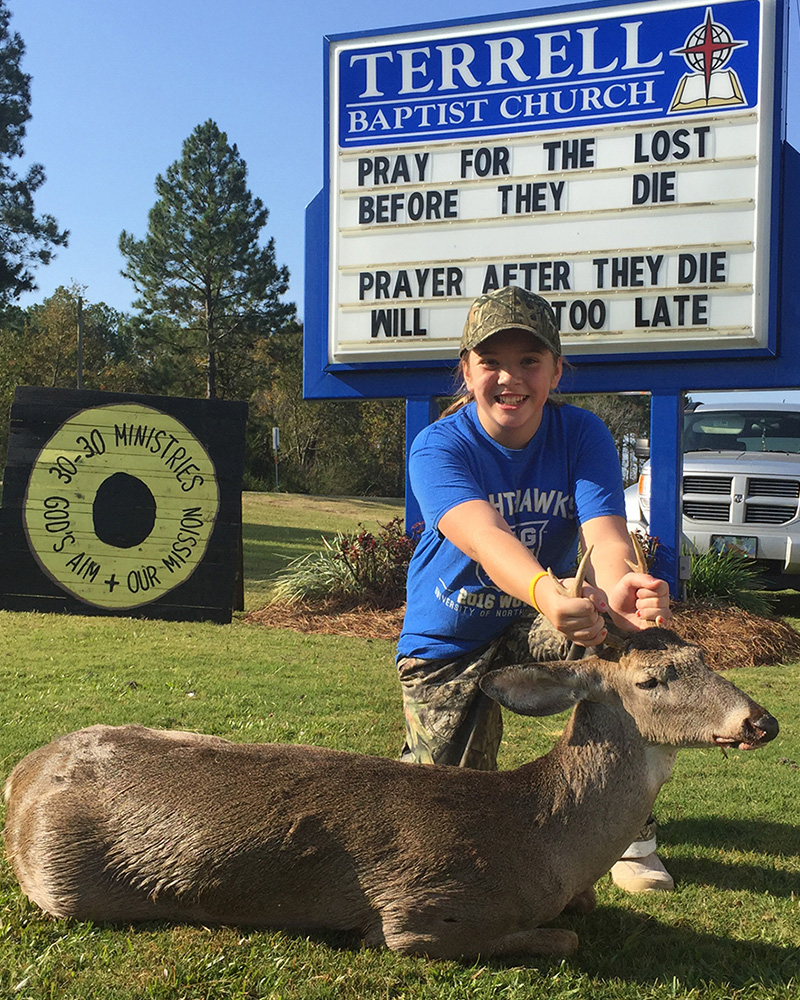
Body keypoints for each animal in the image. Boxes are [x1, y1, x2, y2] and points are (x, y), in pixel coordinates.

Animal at [3, 542, 778, 960]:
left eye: (705, 655)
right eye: (652, 679)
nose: (760, 721)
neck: (542, 838)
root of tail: (24, 772)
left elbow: (582, 915)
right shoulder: (426, 912)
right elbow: (563, 938)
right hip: (62, 881)